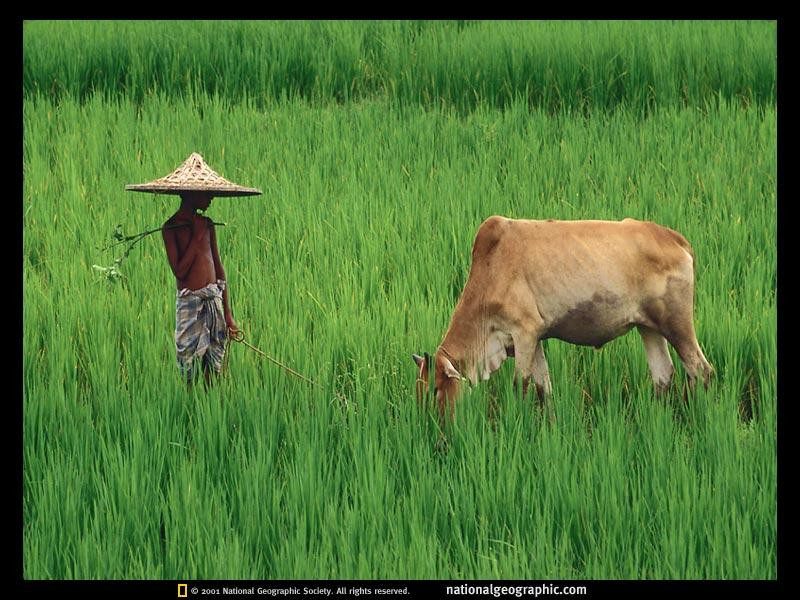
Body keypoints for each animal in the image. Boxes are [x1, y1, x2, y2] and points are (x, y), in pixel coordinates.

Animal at [412, 216, 712, 422]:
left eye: (435, 389)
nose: (431, 425)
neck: (490, 269)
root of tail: (674, 238)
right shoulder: (534, 339)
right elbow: (544, 388)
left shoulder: (524, 333)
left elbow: (520, 386)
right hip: (648, 327)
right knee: (663, 376)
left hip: (677, 324)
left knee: (700, 369)